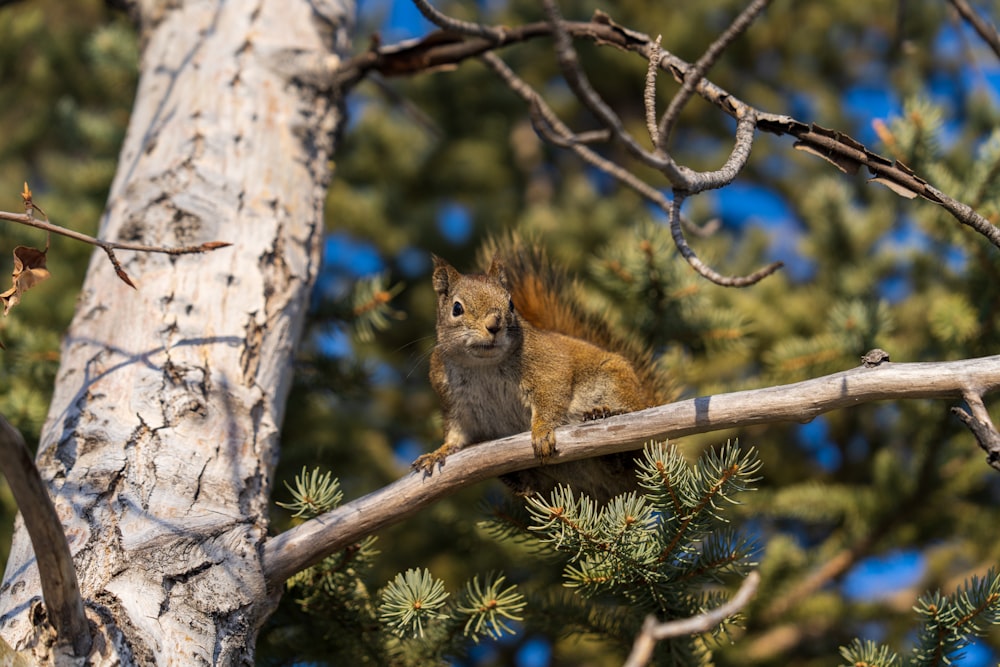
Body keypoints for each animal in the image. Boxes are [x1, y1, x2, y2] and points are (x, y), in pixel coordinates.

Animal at [414, 237, 672, 504]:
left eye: (511, 303)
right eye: (457, 308)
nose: (494, 325)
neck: (483, 365)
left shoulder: (549, 368)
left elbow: (550, 400)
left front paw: (542, 432)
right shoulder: (454, 401)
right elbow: (457, 434)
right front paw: (438, 452)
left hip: (615, 384)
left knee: (634, 443)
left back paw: (604, 415)